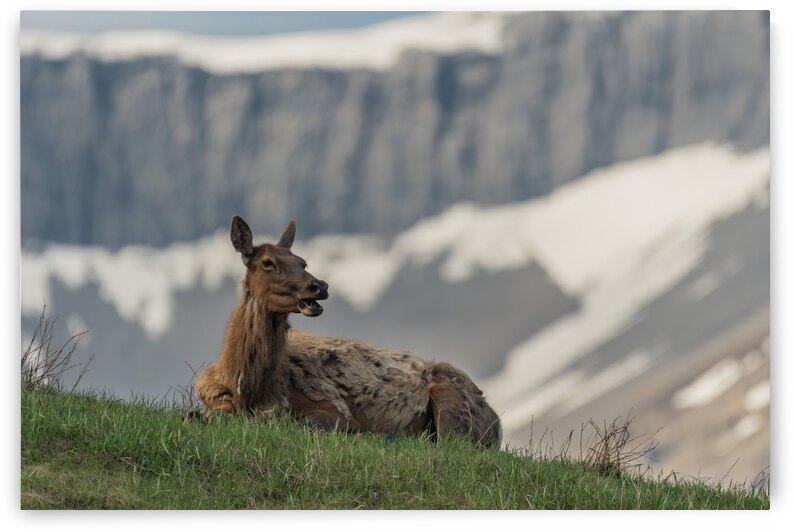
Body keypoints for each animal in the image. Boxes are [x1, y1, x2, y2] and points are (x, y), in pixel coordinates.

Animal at [195, 216, 502, 447]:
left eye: (303, 261)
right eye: (267, 262)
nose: (319, 286)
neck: (247, 388)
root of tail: (496, 422)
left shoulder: (335, 409)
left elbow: (303, 421)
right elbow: (214, 416)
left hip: (453, 407)